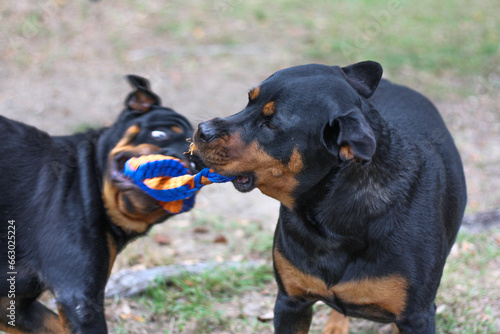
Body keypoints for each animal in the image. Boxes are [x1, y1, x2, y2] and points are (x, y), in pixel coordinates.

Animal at [1, 76, 201, 334]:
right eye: (159, 135)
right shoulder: (81, 300)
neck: (91, 180)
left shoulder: (14, 305)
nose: (182, 161)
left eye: (197, 166)